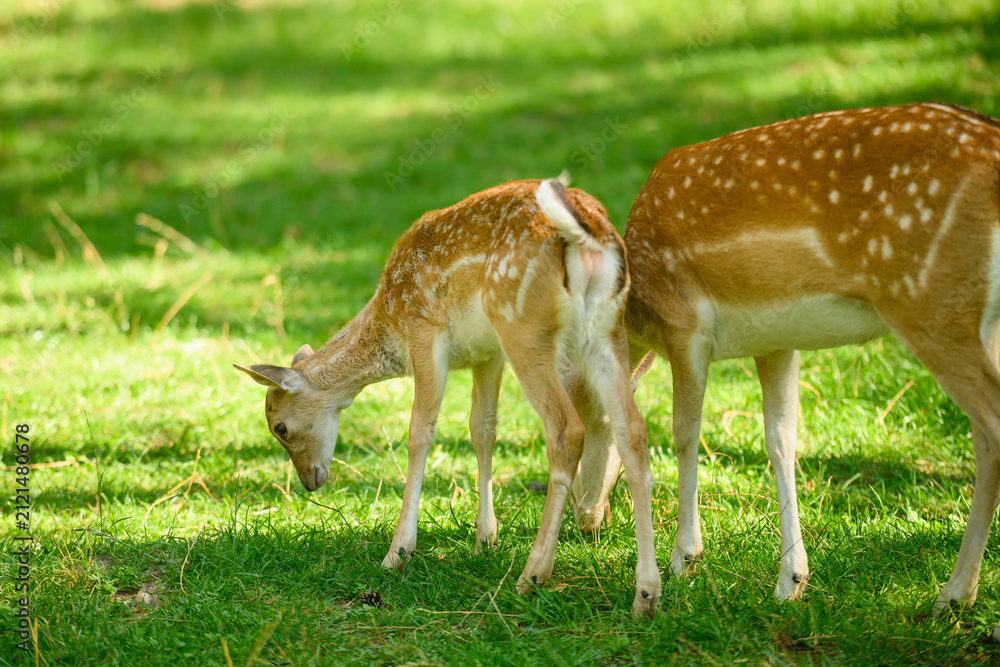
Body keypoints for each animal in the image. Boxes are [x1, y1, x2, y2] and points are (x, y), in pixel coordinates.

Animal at [235, 177, 662, 617]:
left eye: (279, 427)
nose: (309, 482)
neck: (388, 320)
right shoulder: (486, 354)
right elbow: (483, 430)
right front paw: (485, 539)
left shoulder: (424, 331)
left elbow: (419, 433)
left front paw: (398, 552)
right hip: (605, 327)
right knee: (632, 428)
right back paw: (646, 594)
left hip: (524, 327)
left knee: (566, 431)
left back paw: (532, 575)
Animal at [572, 102, 1000, 639]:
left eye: (592, 420)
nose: (584, 517)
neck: (641, 301)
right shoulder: (776, 342)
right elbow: (781, 439)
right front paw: (790, 582)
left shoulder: (685, 323)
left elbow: (685, 432)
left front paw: (683, 559)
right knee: (984, 437)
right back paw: (955, 595)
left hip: (931, 303)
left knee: (991, 430)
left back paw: (958, 597)